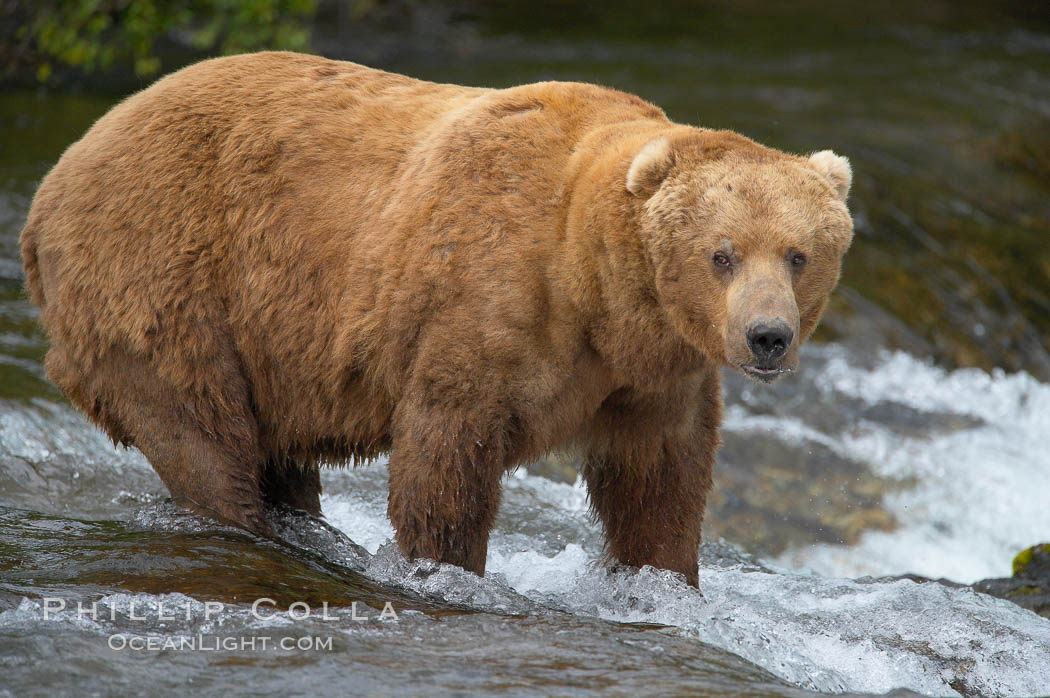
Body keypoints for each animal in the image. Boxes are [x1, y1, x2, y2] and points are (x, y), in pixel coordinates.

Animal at [18, 51, 852, 583]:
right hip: (164, 280)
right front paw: (445, 568)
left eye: (798, 253)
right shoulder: (481, 306)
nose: (767, 337)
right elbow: (447, 459)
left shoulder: (653, 373)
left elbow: (659, 482)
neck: (592, 288)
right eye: (722, 253)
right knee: (202, 434)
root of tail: (55, 176)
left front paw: (664, 579)